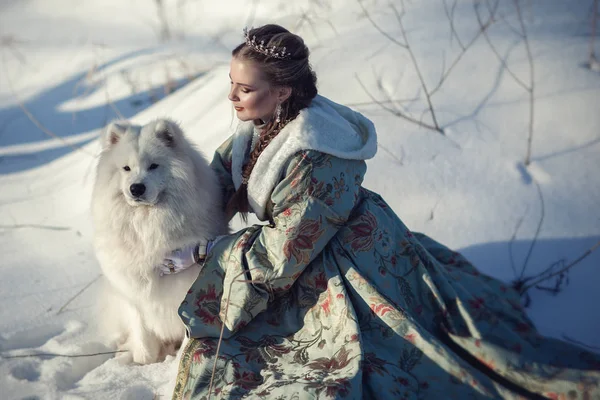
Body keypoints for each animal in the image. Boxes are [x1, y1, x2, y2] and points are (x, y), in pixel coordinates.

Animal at [91, 117, 227, 364]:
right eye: (126, 168)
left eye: (154, 166)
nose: (136, 188)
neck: (147, 225)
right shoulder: (133, 293)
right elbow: (142, 334)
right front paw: (145, 361)